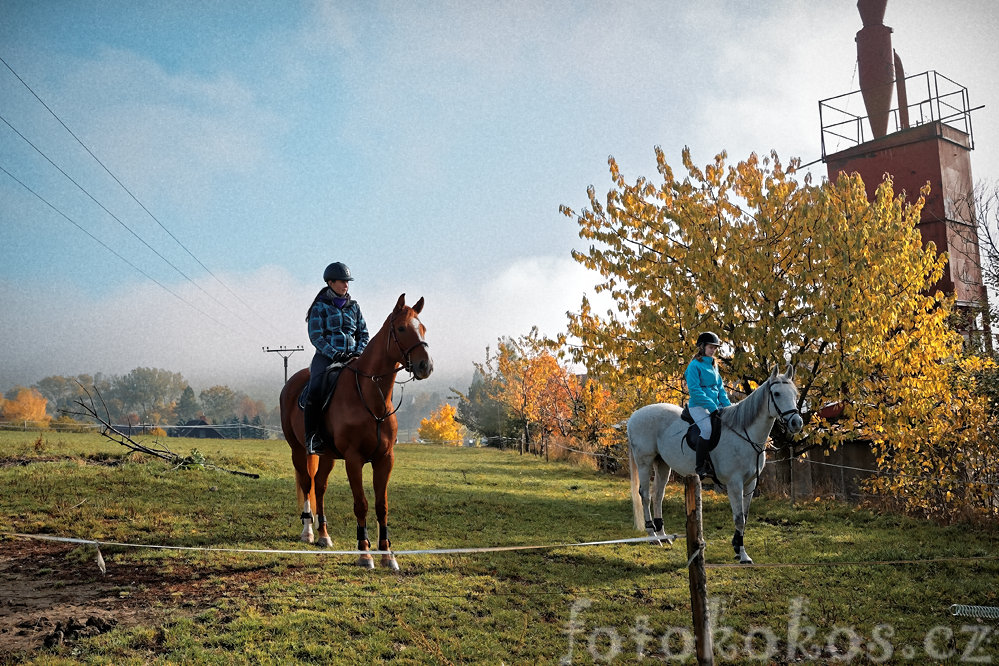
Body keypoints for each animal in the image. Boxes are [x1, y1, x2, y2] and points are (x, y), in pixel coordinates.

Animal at [278, 294, 430, 568]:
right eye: (402, 328)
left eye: (422, 328)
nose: (425, 365)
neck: (371, 398)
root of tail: (291, 384)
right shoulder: (353, 459)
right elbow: (361, 504)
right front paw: (365, 553)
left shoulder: (385, 459)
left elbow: (382, 506)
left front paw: (387, 554)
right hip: (298, 450)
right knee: (306, 484)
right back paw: (308, 532)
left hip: (327, 455)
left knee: (319, 486)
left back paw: (324, 535)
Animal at [632, 364, 804, 560]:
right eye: (776, 394)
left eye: (795, 393)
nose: (797, 423)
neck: (744, 434)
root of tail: (634, 416)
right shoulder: (735, 483)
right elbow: (739, 518)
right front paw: (743, 555)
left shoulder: (750, 482)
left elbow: (744, 516)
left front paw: (737, 547)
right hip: (644, 462)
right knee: (645, 495)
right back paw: (652, 536)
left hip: (662, 464)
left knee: (658, 495)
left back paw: (662, 536)